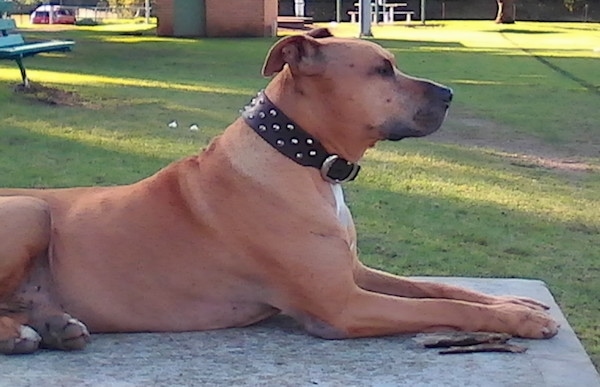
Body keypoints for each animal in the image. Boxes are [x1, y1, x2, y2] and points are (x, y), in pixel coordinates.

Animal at [0, 28, 556, 354]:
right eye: (381, 69)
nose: (449, 94)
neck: (303, 158)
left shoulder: (353, 273)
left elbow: (439, 288)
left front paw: (515, 304)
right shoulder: (342, 305)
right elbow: (442, 308)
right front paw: (518, 320)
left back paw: (53, 326)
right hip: (29, 209)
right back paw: (26, 335)